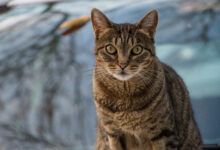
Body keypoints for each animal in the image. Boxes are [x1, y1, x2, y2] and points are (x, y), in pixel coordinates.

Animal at [90, 8, 201, 150]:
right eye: (110, 49)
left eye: (137, 49)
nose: (122, 64)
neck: (125, 97)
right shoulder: (113, 135)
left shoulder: (163, 133)